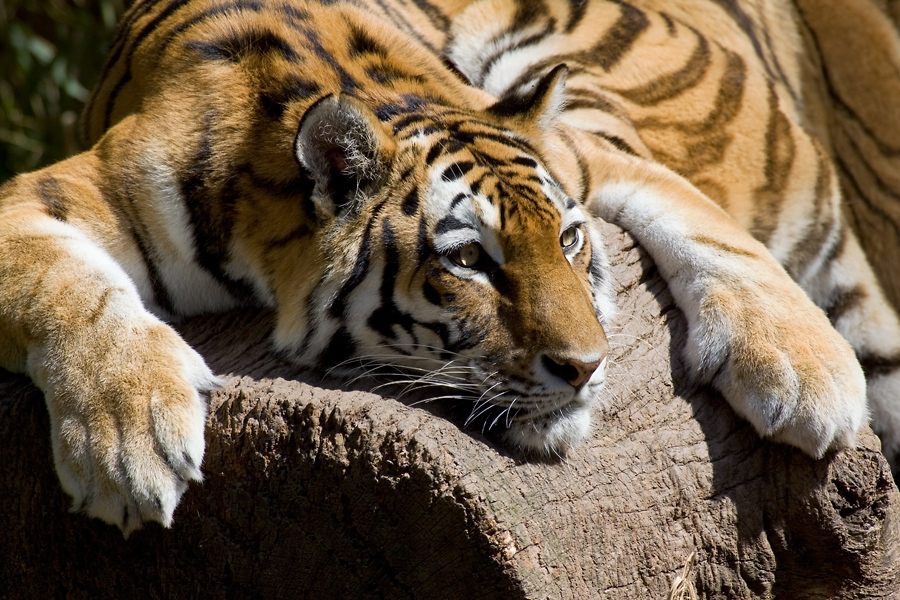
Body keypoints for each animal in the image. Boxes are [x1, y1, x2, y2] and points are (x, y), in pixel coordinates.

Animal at [1, 0, 900, 540]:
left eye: (570, 241)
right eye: (469, 260)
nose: (588, 368)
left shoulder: (593, 155)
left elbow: (712, 227)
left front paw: (811, 376)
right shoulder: (56, 190)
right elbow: (63, 287)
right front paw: (126, 449)